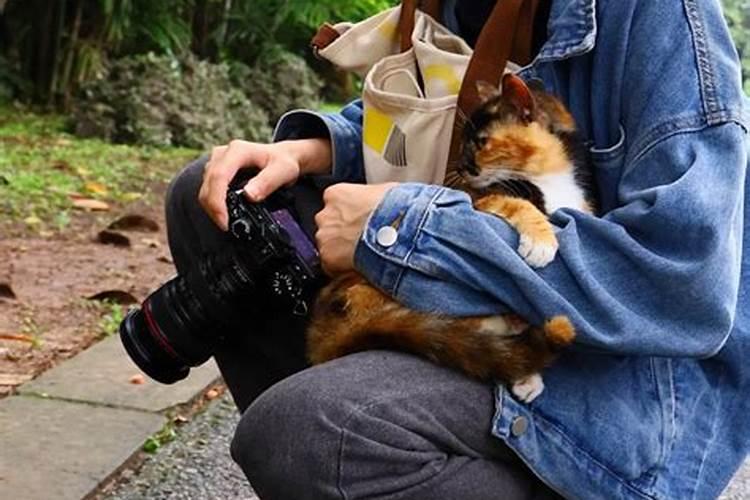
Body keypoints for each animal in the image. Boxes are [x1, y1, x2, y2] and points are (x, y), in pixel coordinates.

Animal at [306, 74, 600, 402]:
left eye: (481, 142)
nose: (460, 167)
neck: (549, 176)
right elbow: (515, 202)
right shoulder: (476, 199)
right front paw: (541, 242)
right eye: (462, 142)